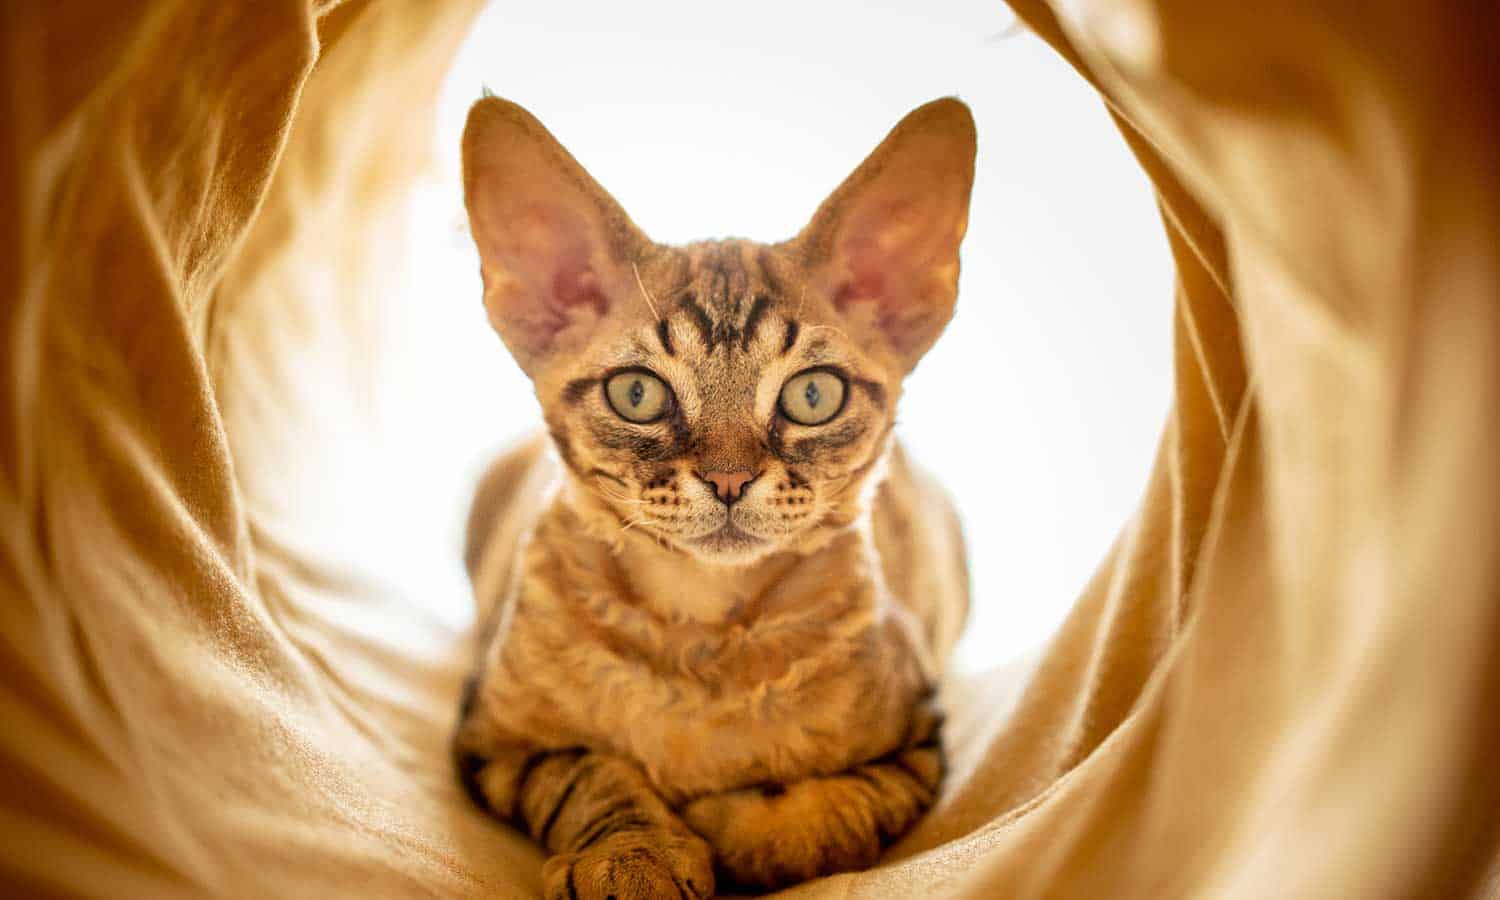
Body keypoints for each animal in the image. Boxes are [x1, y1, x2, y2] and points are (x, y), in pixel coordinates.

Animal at [453, 94, 972, 894]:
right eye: (637, 394)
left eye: (813, 395)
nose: (729, 478)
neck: (697, 633)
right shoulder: (492, 739)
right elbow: (587, 772)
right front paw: (634, 855)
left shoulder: (918, 742)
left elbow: (822, 823)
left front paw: (725, 823)